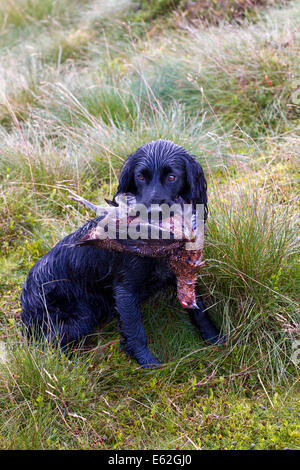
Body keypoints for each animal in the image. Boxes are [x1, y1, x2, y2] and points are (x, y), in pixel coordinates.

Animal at [21, 140, 223, 368]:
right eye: (140, 177)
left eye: (172, 177)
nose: (152, 213)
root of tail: (25, 301)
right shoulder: (125, 290)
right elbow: (135, 329)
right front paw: (148, 364)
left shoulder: (182, 273)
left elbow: (199, 309)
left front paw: (215, 337)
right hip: (81, 316)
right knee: (47, 345)